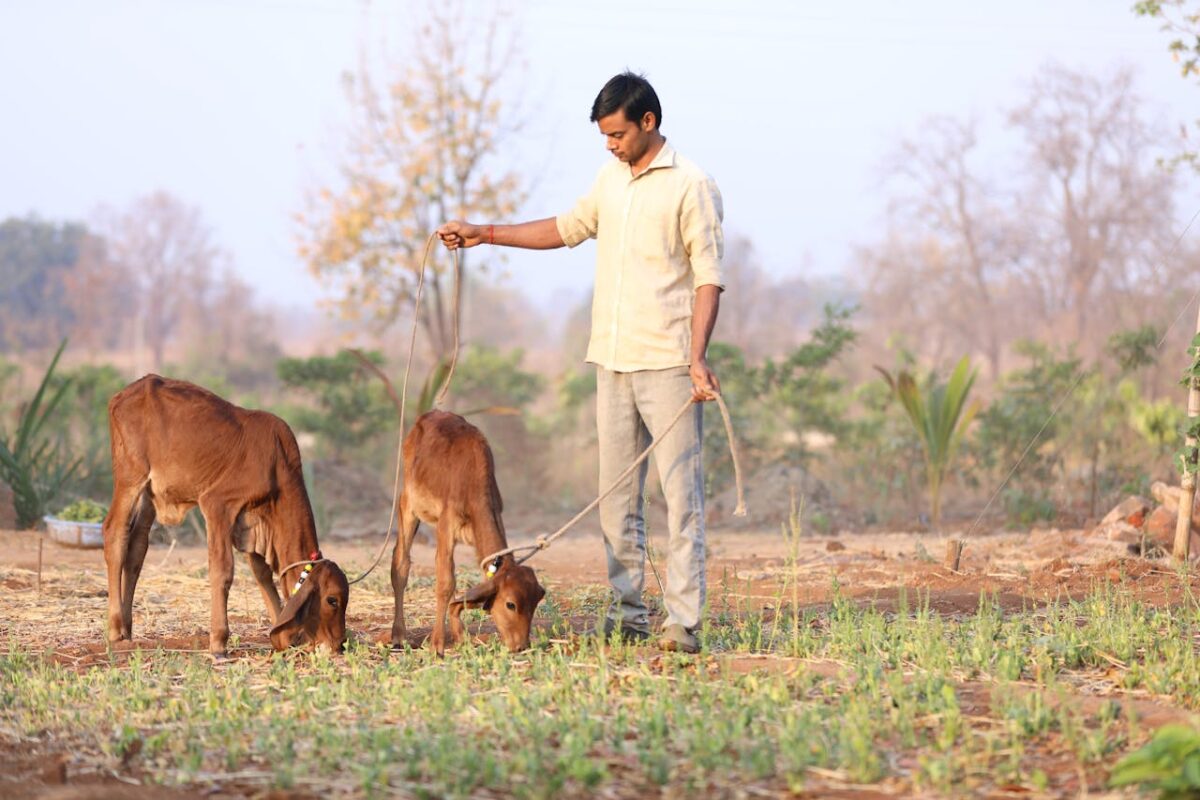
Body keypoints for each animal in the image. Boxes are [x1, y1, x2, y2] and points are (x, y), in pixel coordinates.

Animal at [103, 375, 349, 659]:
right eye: (332, 600)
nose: (340, 644)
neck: (276, 465)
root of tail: (124, 393)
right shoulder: (218, 505)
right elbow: (223, 571)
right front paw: (219, 642)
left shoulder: (253, 523)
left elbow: (263, 575)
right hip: (131, 478)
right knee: (114, 534)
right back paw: (115, 630)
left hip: (149, 495)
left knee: (137, 547)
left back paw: (127, 629)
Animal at [389, 410, 545, 655]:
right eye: (510, 604)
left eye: (535, 602)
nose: (521, 646)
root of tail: (428, 415)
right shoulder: (445, 526)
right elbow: (445, 583)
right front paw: (437, 644)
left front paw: (460, 636)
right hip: (408, 505)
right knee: (400, 565)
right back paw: (398, 635)